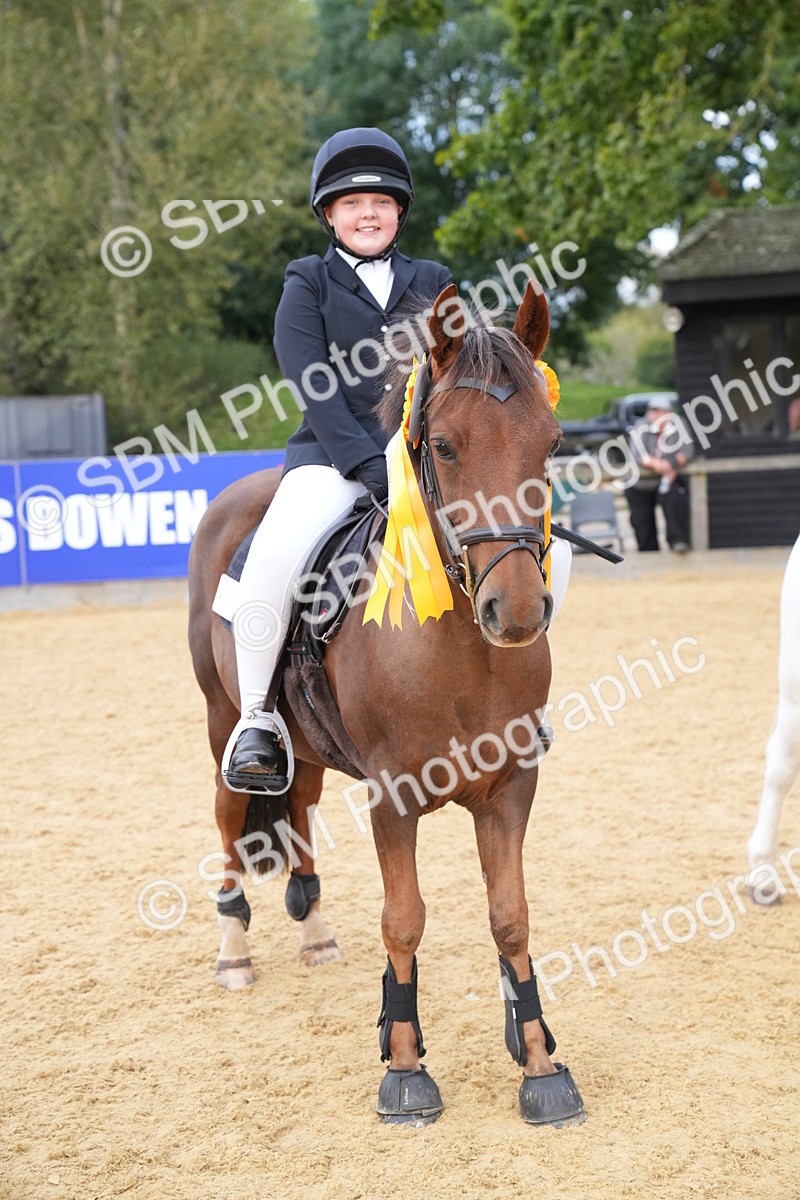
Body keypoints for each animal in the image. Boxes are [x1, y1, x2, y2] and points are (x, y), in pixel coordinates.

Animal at [187, 282, 586, 1127]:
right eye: (446, 447)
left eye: (552, 441)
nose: (516, 611)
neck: (462, 651)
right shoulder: (393, 796)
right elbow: (404, 920)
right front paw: (405, 1070)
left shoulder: (510, 787)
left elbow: (511, 917)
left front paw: (538, 1063)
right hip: (220, 723)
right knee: (230, 816)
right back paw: (234, 951)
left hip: (305, 745)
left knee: (298, 805)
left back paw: (314, 934)